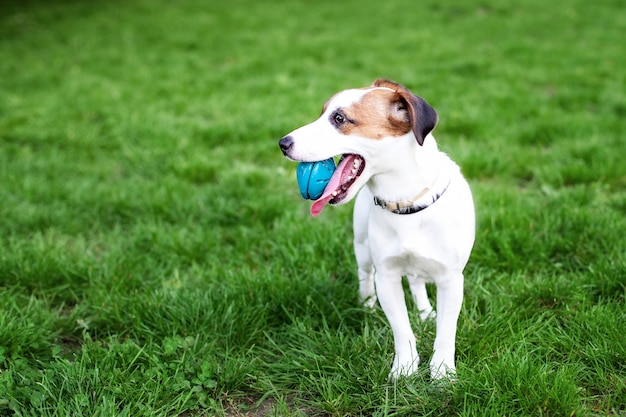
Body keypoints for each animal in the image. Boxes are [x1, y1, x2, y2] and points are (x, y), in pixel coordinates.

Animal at [278, 79, 472, 380]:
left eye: (339, 118)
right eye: (322, 113)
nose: (283, 143)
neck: (406, 203)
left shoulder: (451, 279)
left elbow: (445, 332)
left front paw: (442, 373)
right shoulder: (387, 275)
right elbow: (401, 329)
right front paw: (404, 369)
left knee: (416, 282)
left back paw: (425, 312)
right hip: (362, 247)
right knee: (365, 274)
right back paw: (367, 305)